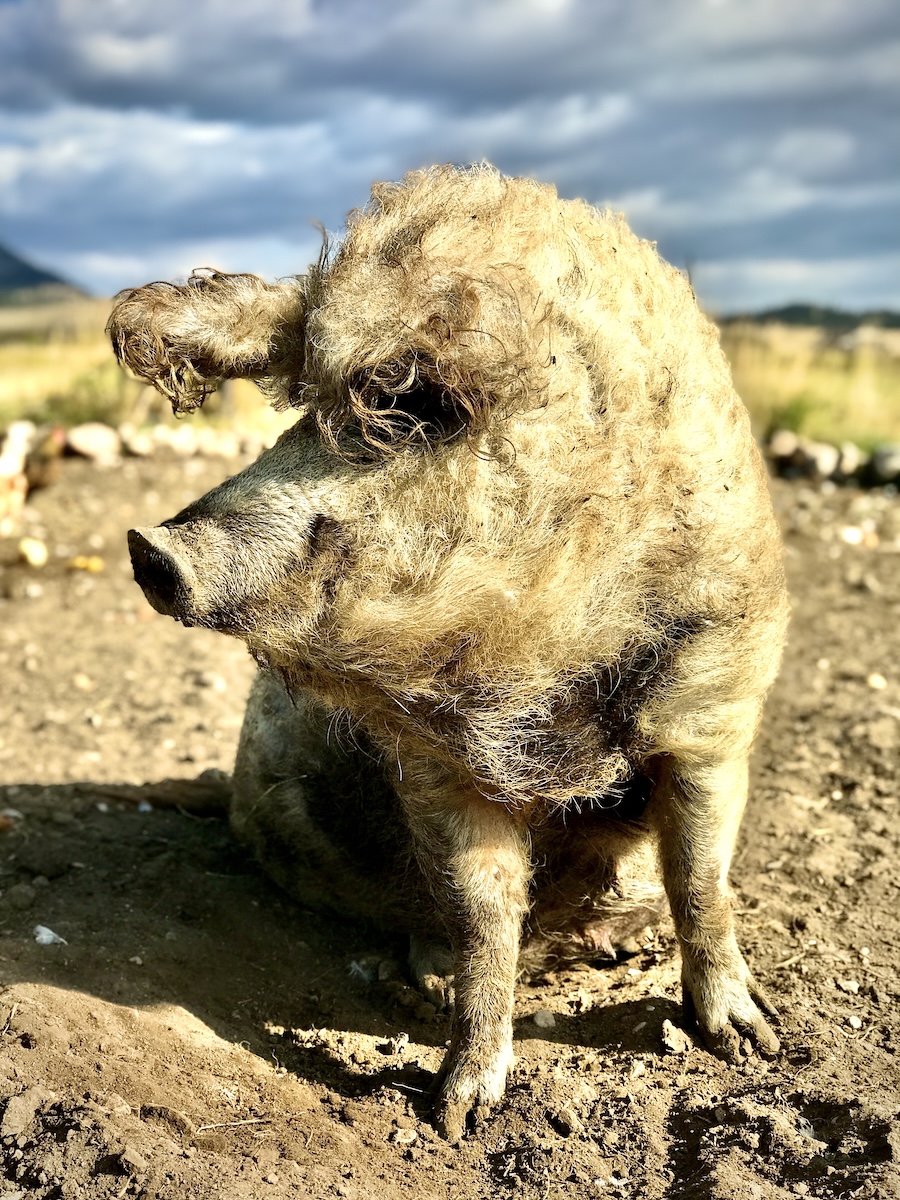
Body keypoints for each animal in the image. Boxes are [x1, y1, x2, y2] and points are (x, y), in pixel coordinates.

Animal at [109, 164, 790, 1141]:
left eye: (411, 410)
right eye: (306, 407)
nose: (150, 547)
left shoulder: (712, 701)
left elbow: (702, 875)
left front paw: (749, 1043)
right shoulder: (435, 764)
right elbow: (483, 914)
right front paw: (457, 1115)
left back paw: (622, 944)